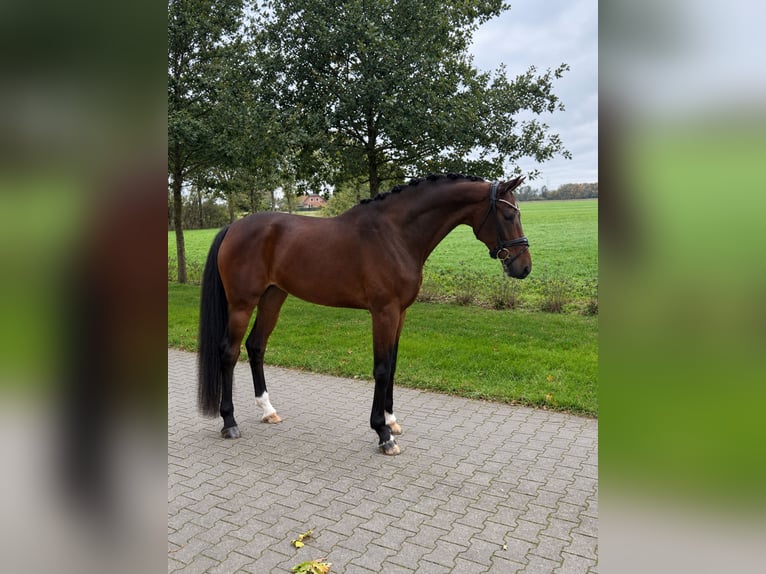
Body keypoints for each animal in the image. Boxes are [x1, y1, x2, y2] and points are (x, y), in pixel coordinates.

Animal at [197, 173, 531, 455]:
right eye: (508, 215)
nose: (524, 267)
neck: (395, 235)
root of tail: (234, 227)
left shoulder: (400, 313)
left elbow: (393, 366)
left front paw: (392, 420)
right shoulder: (383, 312)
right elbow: (381, 368)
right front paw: (383, 434)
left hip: (272, 297)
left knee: (256, 346)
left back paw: (268, 411)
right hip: (242, 304)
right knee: (229, 352)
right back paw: (229, 422)